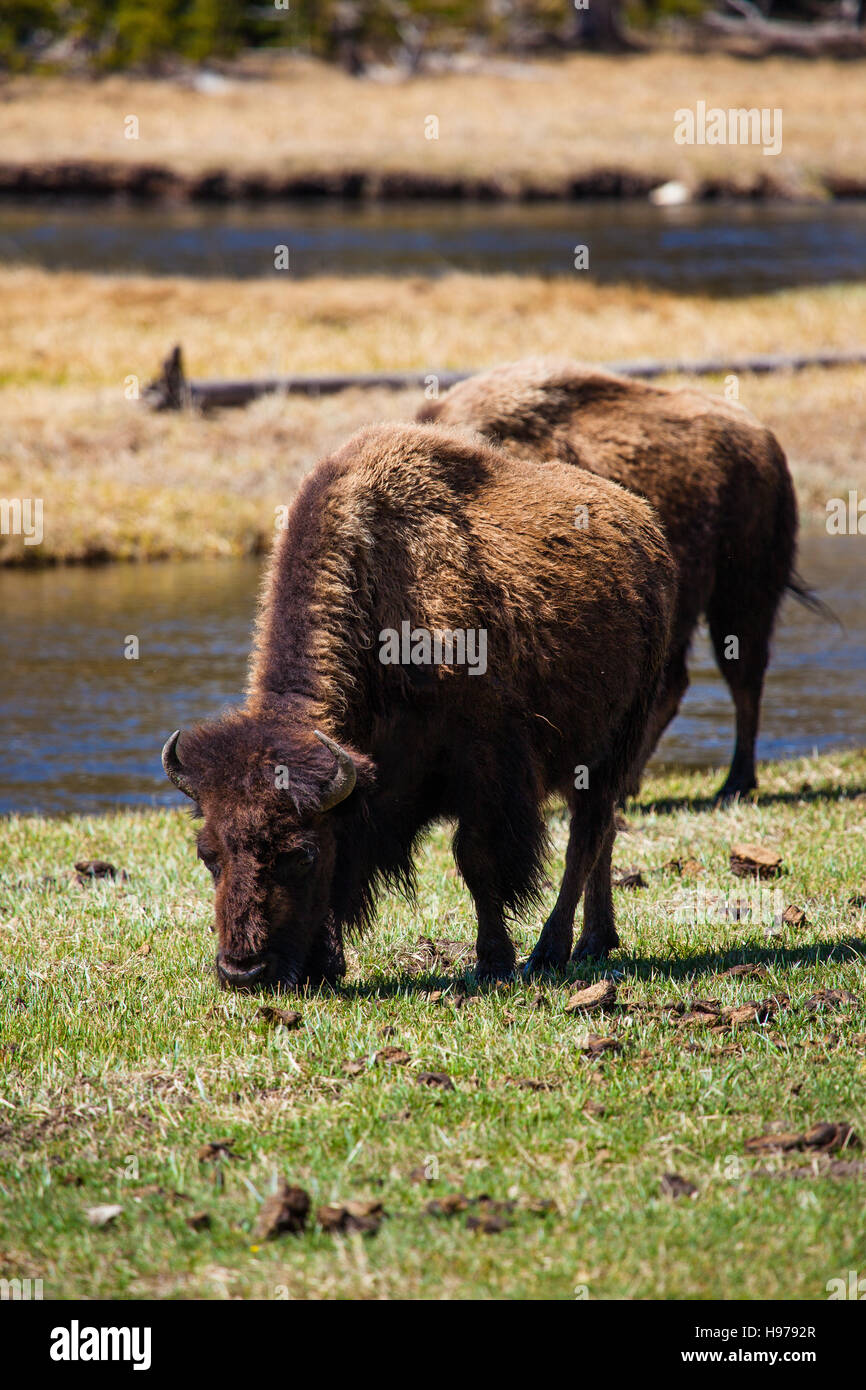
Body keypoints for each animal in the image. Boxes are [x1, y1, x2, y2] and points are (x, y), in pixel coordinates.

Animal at [163, 423, 675, 986]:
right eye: (207, 854)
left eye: (301, 855)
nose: (243, 971)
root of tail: (643, 521)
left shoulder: (486, 770)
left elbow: (475, 859)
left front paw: (493, 963)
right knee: (602, 836)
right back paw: (595, 942)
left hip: (613, 745)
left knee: (586, 836)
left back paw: (552, 951)